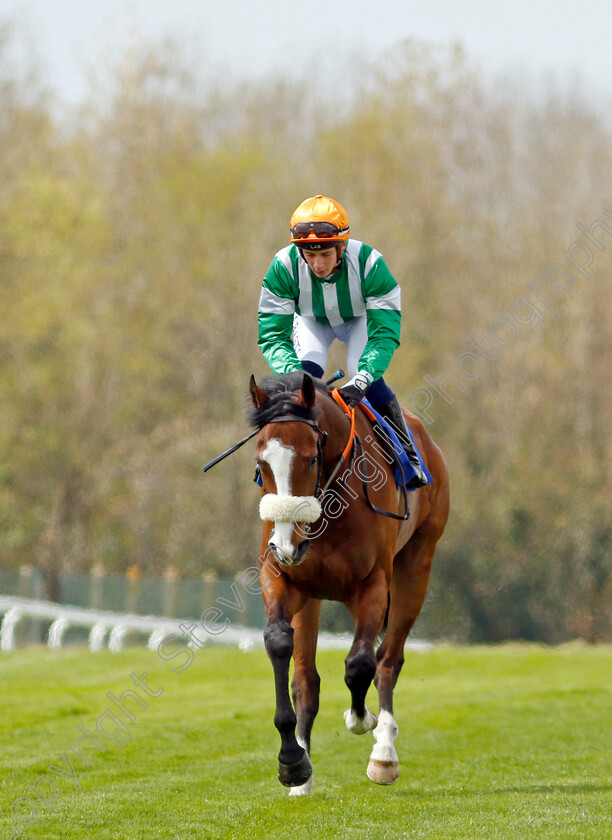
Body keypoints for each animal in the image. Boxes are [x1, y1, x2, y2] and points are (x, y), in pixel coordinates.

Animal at [247, 372, 450, 796]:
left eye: (311, 457)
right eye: (261, 463)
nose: (285, 543)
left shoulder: (373, 584)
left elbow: (360, 664)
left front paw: (362, 720)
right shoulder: (282, 577)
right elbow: (279, 644)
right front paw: (292, 762)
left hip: (417, 564)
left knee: (388, 660)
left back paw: (384, 754)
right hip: (310, 596)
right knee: (306, 680)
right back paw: (304, 774)